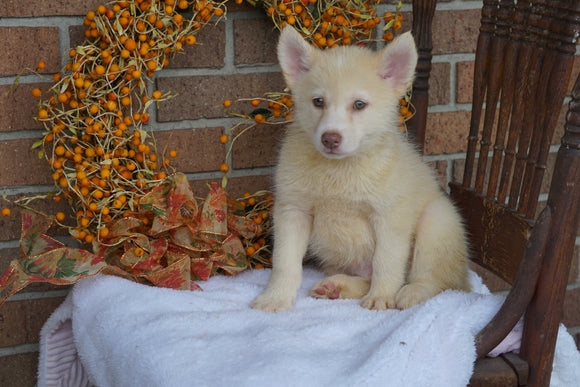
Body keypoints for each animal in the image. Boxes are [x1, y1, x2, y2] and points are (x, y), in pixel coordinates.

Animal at [251, 27, 468, 312]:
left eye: (359, 105)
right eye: (318, 101)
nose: (330, 139)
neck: (340, 169)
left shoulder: (390, 217)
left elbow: (386, 263)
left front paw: (381, 297)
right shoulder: (293, 211)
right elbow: (284, 263)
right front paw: (276, 297)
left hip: (436, 222)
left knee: (434, 281)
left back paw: (410, 293)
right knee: (367, 278)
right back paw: (335, 287)